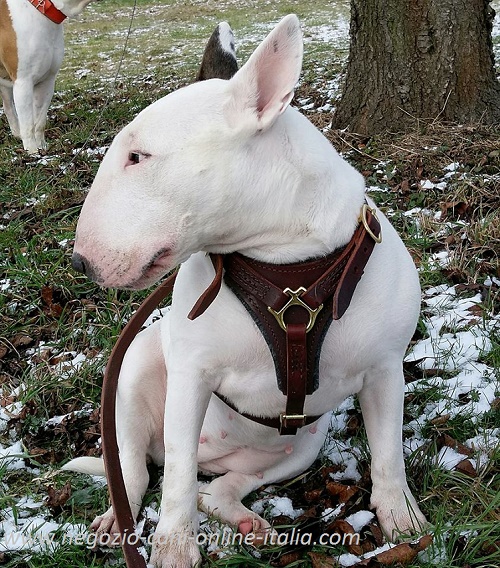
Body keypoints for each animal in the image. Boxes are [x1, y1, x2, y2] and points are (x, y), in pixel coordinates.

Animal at [0, 0, 94, 153]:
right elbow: (28, 125)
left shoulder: (47, 82)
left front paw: (42, 148)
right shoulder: (23, 83)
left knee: (8, 106)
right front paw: (32, 153)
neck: (41, 9)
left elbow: (39, 121)